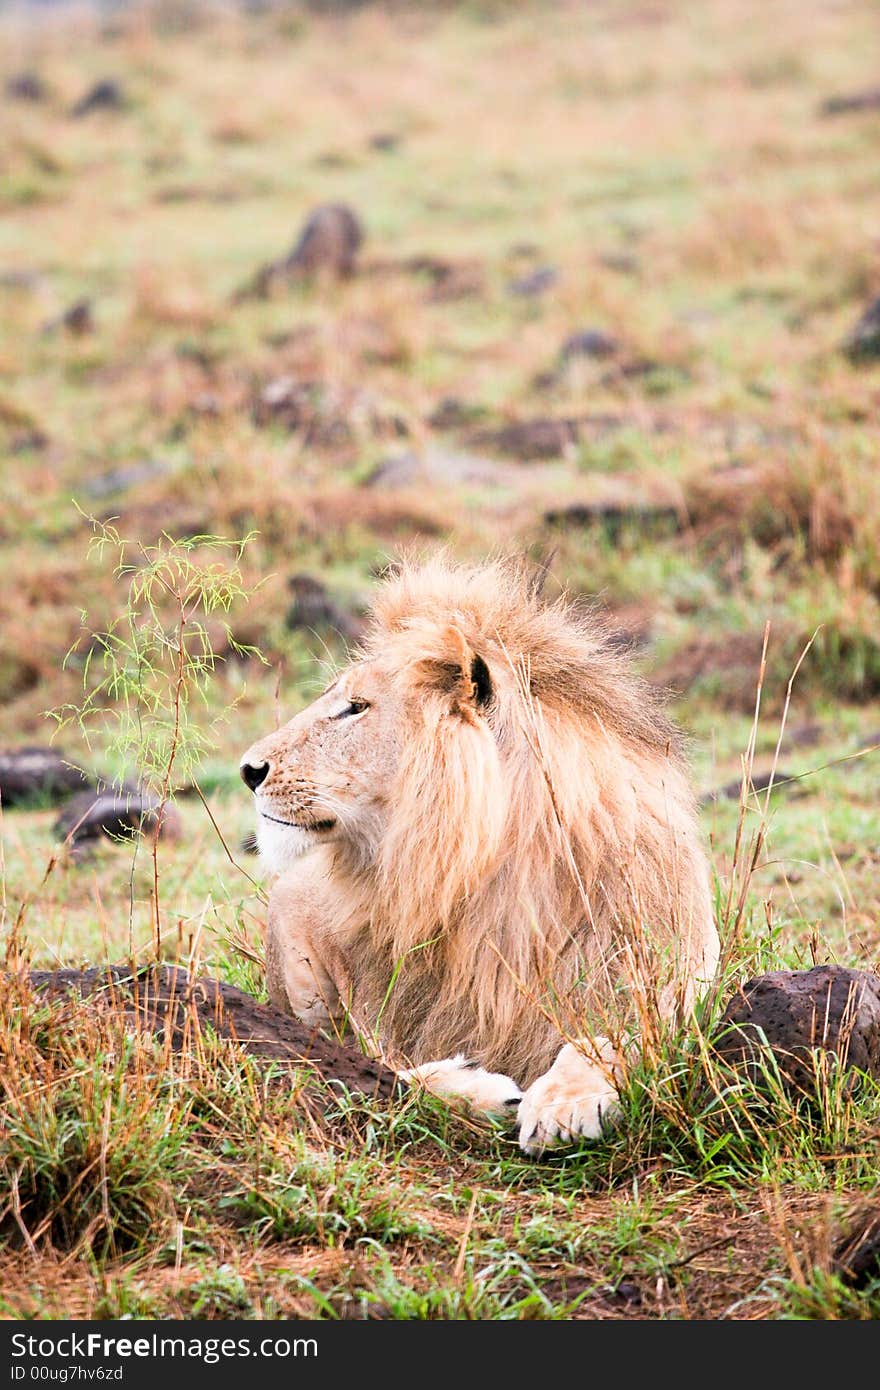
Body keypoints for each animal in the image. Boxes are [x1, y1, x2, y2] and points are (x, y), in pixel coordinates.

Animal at [241, 553, 722, 1150]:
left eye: (355, 708)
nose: (249, 770)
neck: (501, 869)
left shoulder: (677, 965)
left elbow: (620, 1033)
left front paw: (566, 1103)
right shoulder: (379, 1026)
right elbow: (393, 1071)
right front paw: (483, 1092)